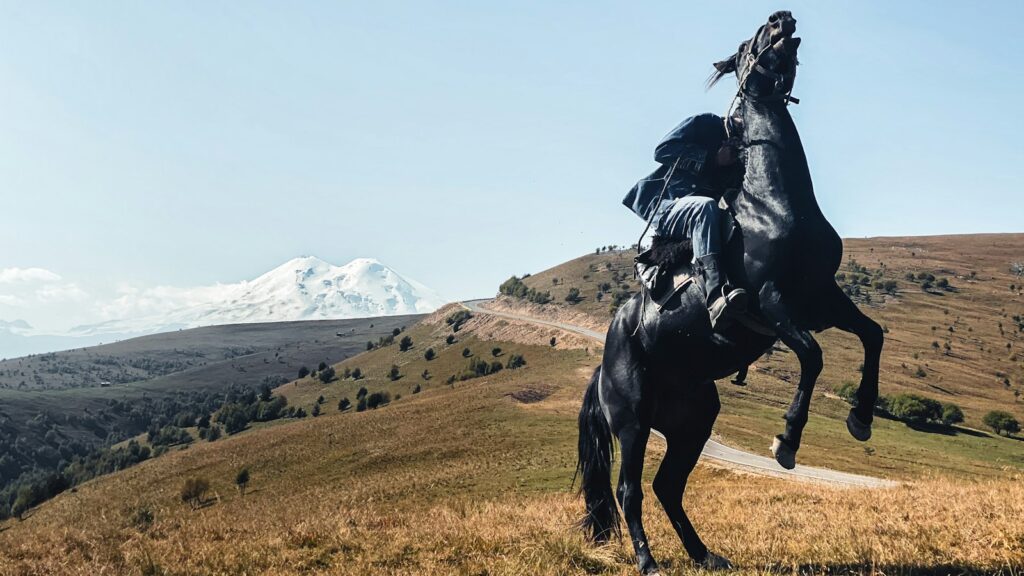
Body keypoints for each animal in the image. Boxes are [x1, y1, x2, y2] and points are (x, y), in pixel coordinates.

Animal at [576, 11, 884, 574]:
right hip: (632, 424)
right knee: (631, 490)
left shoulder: (822, 298)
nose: (782, 17)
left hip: (692, 423)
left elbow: (872, 335)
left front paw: (861, 418)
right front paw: (787, 441)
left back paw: (705, 554)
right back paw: (648, 561)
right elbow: (812, 356)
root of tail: (603, 365)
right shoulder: (771, 300)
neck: (773, 201)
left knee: (668, 487)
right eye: (748, 43)